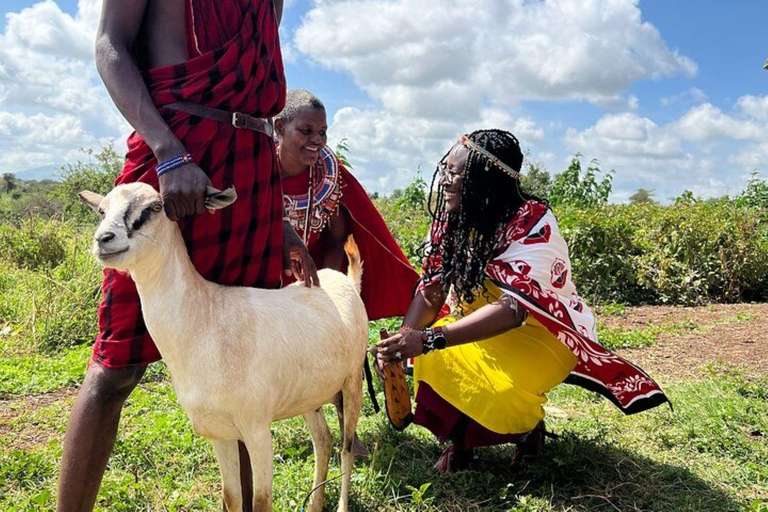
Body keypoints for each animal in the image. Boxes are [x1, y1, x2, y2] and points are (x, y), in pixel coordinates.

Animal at [79, 182, 368, 510]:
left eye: (154, 207)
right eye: (102, 210)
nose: (104, 240)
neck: (207, 320)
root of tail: (346, 281)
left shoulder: (257, 430)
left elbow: (261, 500)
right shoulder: (220, 433)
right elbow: (231, 497)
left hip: (352, 384)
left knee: (346, 447)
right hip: (309, 397)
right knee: (323, 439)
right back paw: (314, 504)